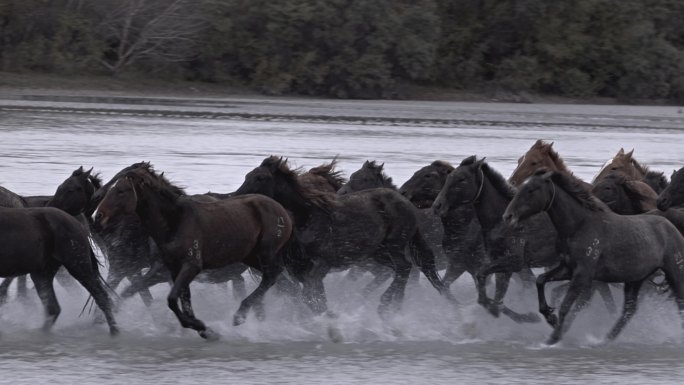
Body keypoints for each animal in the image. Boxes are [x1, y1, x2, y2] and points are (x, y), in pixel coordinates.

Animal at [0, 206, 118, 334]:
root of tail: (78, 224)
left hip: (78, 267)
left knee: (102, 297)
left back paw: (114, 331)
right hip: (42, 274)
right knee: (53, 308)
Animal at [93, 164, 292, 338]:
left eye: (121, 190)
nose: (99, 216)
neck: (175, 222)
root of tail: (283, 211)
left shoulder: (189, 266)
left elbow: (171, 299)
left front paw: (201, 327)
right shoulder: (174, 270)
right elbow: (182, 300)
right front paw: (203, 329)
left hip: (265, 254)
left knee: (272, 277)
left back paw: (240, 315)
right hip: (250, 257)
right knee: (273, 278)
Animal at [235, 156, 454, 318]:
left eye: (260, 178)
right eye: (247, 175)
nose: (237, 196)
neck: (307, 217)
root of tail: (405, 202)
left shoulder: (320, 266)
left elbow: (311, 298)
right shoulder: (301, 271)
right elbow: (311, 298)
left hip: (394, 246)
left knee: (404, 268)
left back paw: (386, 306)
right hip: (378, 254)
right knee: (402, 270)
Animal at [500, 170, 684, 344]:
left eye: (531, 190)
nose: (508, 216)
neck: (579, 225)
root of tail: (673, 229)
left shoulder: (583, 274)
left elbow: (566, 305)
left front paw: (554, 337)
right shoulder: (568, 268)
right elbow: (541, 281)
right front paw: (550, 316)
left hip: (674, 273)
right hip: (636, 279)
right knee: (629, 310)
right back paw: (606, 339)